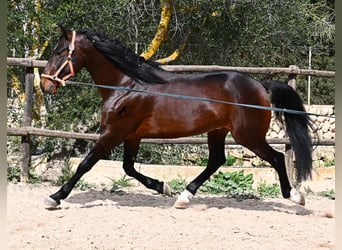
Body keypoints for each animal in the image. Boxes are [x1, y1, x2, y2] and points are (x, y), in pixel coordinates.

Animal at [40, 25, 312, 209]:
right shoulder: (132, 135)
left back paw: (295, 196)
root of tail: (259, 84)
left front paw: (54, 197)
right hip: (218, 131)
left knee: (276, 158)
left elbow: (86, 164)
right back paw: (184, 196)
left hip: (248, 136)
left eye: (59, 51)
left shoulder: (114, 132)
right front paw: (164, 187)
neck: (127, 85)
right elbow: (129, 167)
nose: (45, 85)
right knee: (216, 161)